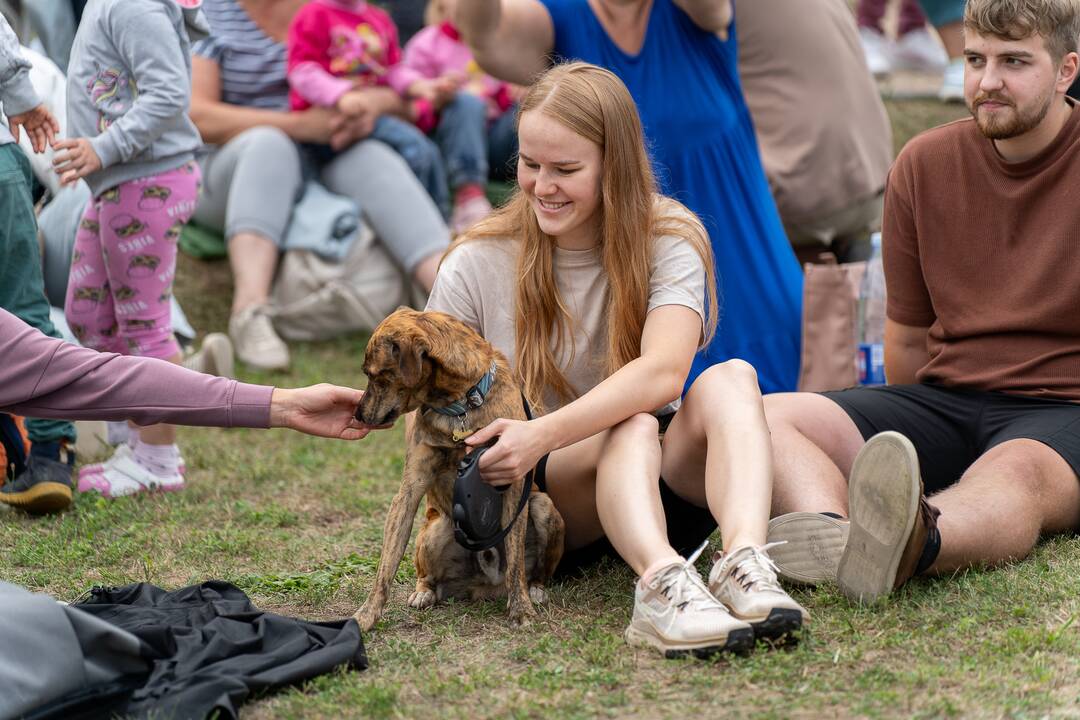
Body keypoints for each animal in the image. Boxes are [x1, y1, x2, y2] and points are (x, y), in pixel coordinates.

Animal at [358, 310, 570, 630]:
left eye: (376, 376)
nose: (357, 414)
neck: (460, 406)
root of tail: (486, 585)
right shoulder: (409, 490)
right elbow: (387, 564)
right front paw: (366, 615)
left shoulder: (512, 478)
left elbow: (516, 563)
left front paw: (521, 609)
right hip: (436, 530)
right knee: (428, 577)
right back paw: (424, 593)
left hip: (543, 507)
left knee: (533, 570)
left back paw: (536, 590)